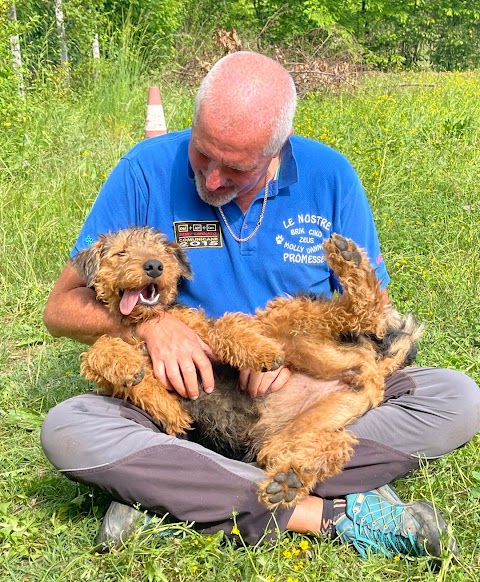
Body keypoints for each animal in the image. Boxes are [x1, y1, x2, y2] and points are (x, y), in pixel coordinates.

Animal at [73, 228, 422, 512]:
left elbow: (225, 328)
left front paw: (259, 353)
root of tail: (370, 368)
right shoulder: (114, 377)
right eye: (120, 253)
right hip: (298, 431)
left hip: (286, 321)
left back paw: (350, 263)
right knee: (335, 446)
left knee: (353, 311)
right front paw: (154, 394)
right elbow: (98, 352)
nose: (154, 266)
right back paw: (292, 479)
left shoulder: (204, 329)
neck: (145, 323)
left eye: (162, 252)